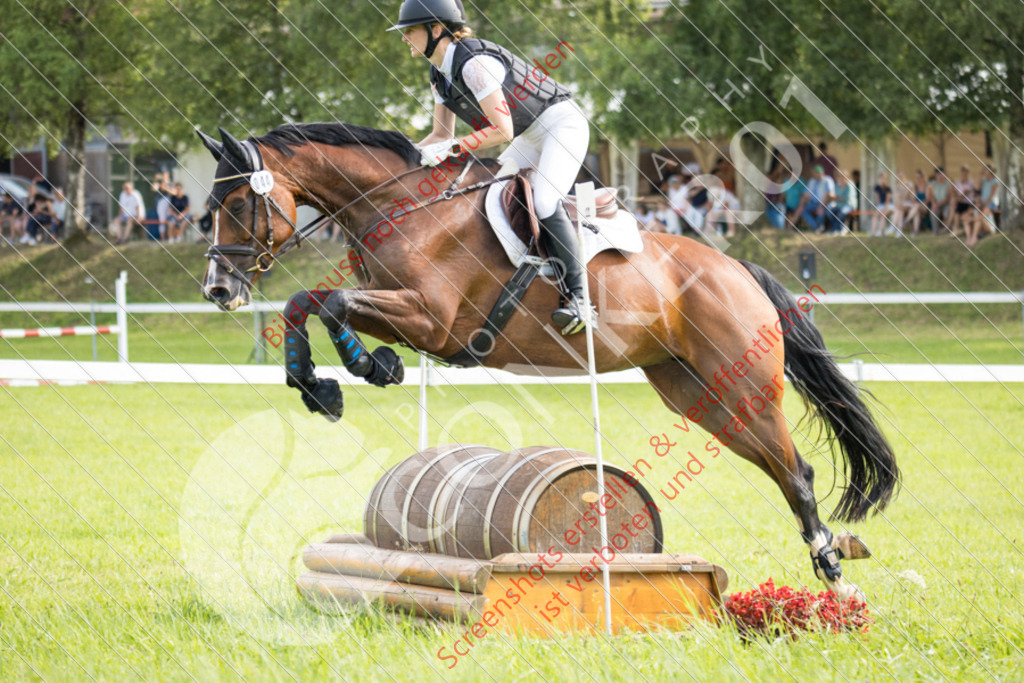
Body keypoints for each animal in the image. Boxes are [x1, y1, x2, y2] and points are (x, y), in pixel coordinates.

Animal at [197, 124, 897, 602]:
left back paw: (835, 579)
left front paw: (372, 369)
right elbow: (306, 301)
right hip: (697, 393)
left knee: (797, 474)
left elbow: (333, 302)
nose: (218, 290)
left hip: (744, 385)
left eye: (237, 206)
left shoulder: (434, 320)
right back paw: (831, 560)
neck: (404, 209)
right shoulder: (403, 310)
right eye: (209, 210)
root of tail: (738, 269)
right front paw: (319, 388)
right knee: (787, 469)